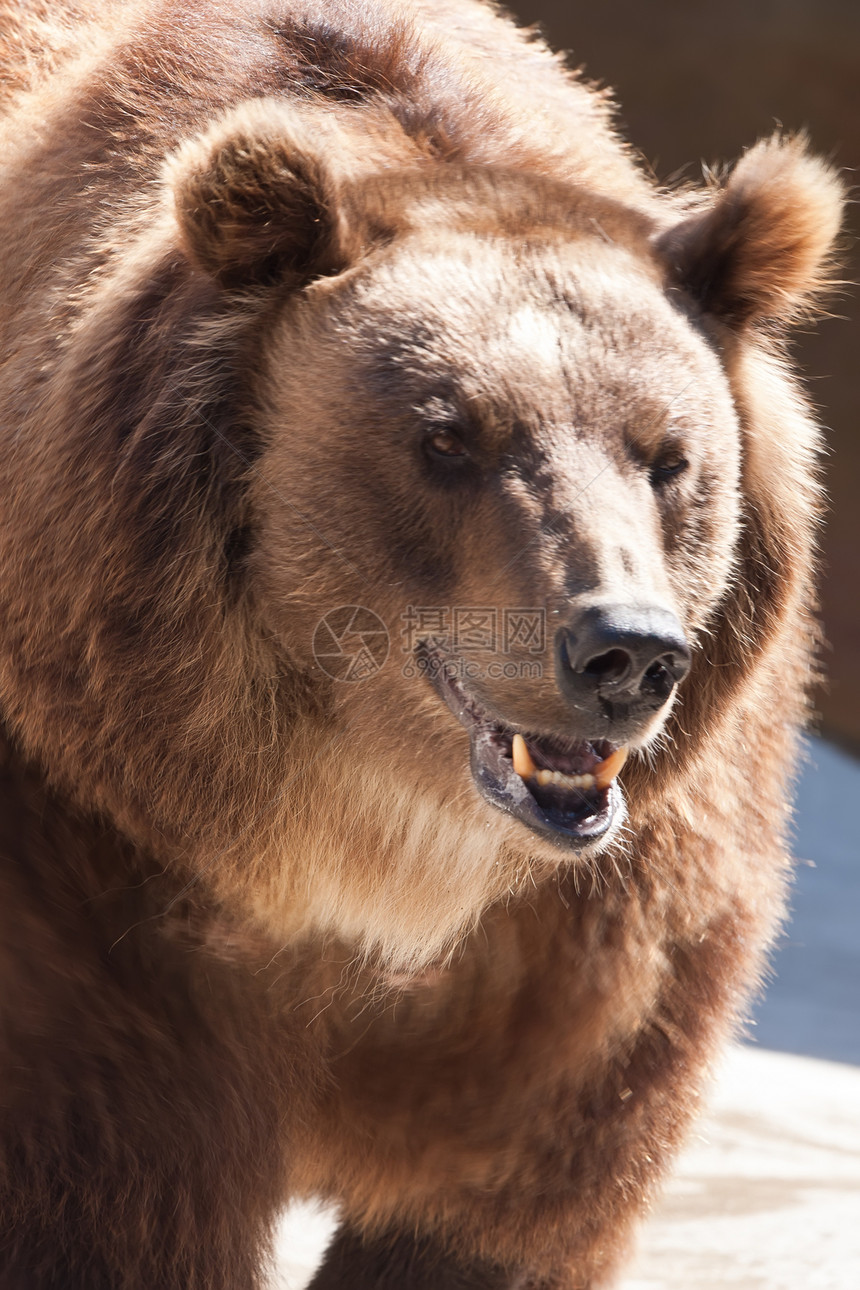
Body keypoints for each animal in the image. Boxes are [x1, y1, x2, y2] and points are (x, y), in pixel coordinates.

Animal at [0, 0, 840, 1284]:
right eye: (447, 437)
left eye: (668, 457)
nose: (624, 652)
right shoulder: (88, 854)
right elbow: (107, 1192)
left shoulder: (596, 940)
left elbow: (506, 1202)